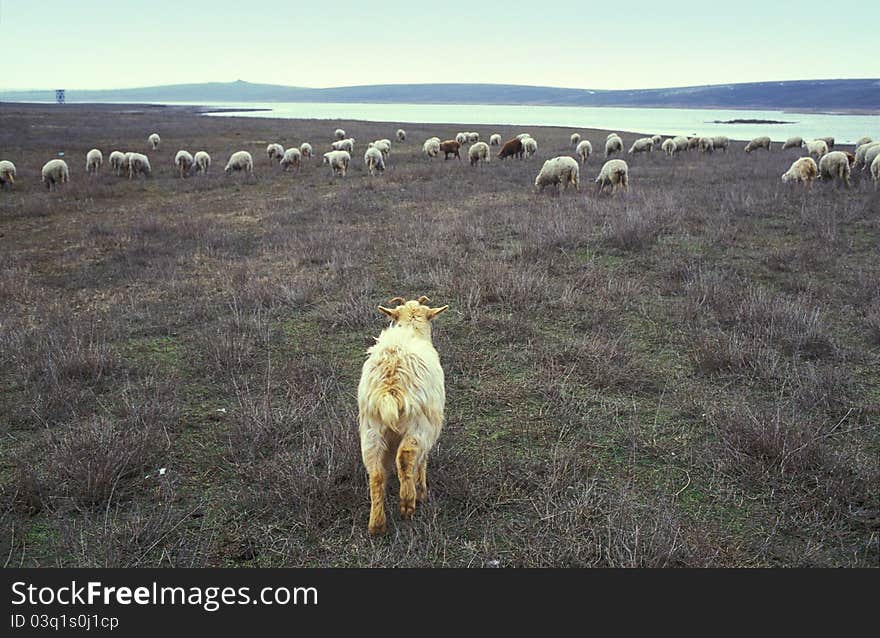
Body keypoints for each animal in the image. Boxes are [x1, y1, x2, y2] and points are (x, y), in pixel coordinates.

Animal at [360, 298, 450, 536]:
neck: (411, 330)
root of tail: (390, 386)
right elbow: (421, 461)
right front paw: (422, 492)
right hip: (418, 425)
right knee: (406, 457)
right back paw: (408, 504)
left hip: (371, 429)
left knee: (376, 473)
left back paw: (377, 525)